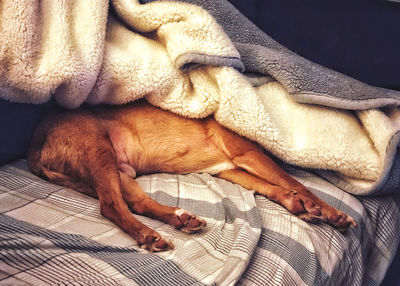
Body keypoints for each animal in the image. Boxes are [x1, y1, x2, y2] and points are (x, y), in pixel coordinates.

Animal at [27, 99, 356, 251]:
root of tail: (35, 146)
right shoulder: (247, 155)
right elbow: (295, 182)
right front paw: (330, 213)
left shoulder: (232, 168)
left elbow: (274, 187)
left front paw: (296, 203)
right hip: (99, 152)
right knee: (111, 205)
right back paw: (148, 234)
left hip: (119, 172)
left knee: (136, 202)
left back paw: (179, 218)